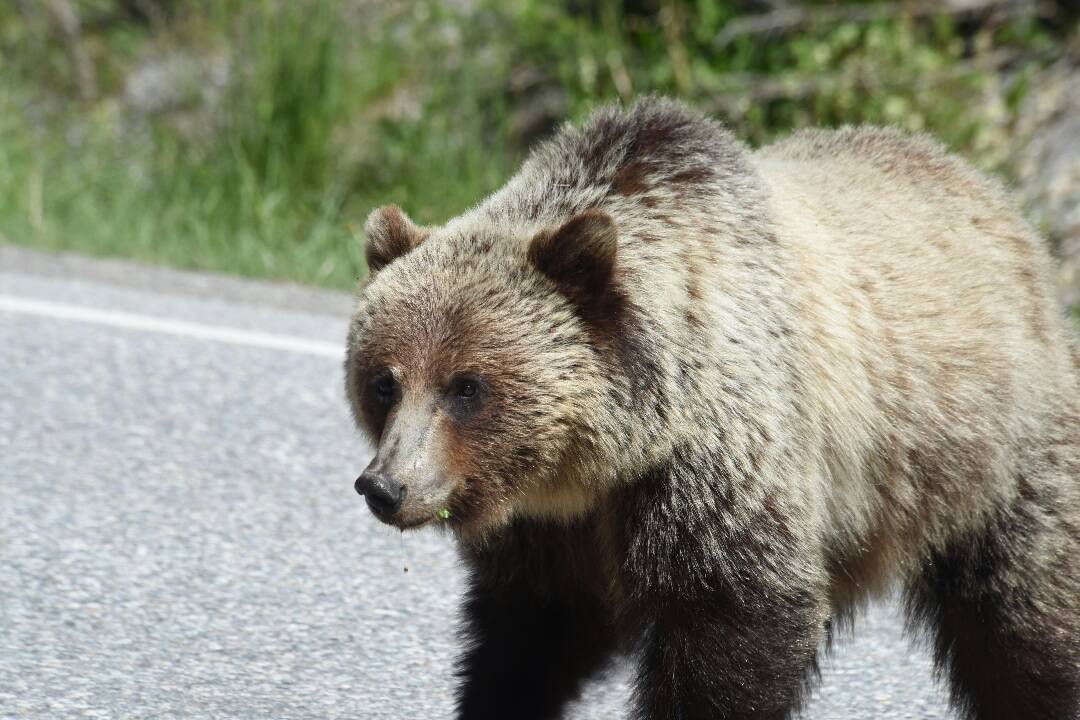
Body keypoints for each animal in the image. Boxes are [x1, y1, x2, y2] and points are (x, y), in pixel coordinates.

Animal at [345, 97, 1080, 720]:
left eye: (467, 386)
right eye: (384, 381)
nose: (386, 486)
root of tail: (995, 199)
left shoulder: (718, 466)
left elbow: (731, 624)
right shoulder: (549, 534)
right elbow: (525, 639)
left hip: (994, 453)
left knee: (1022, 622)